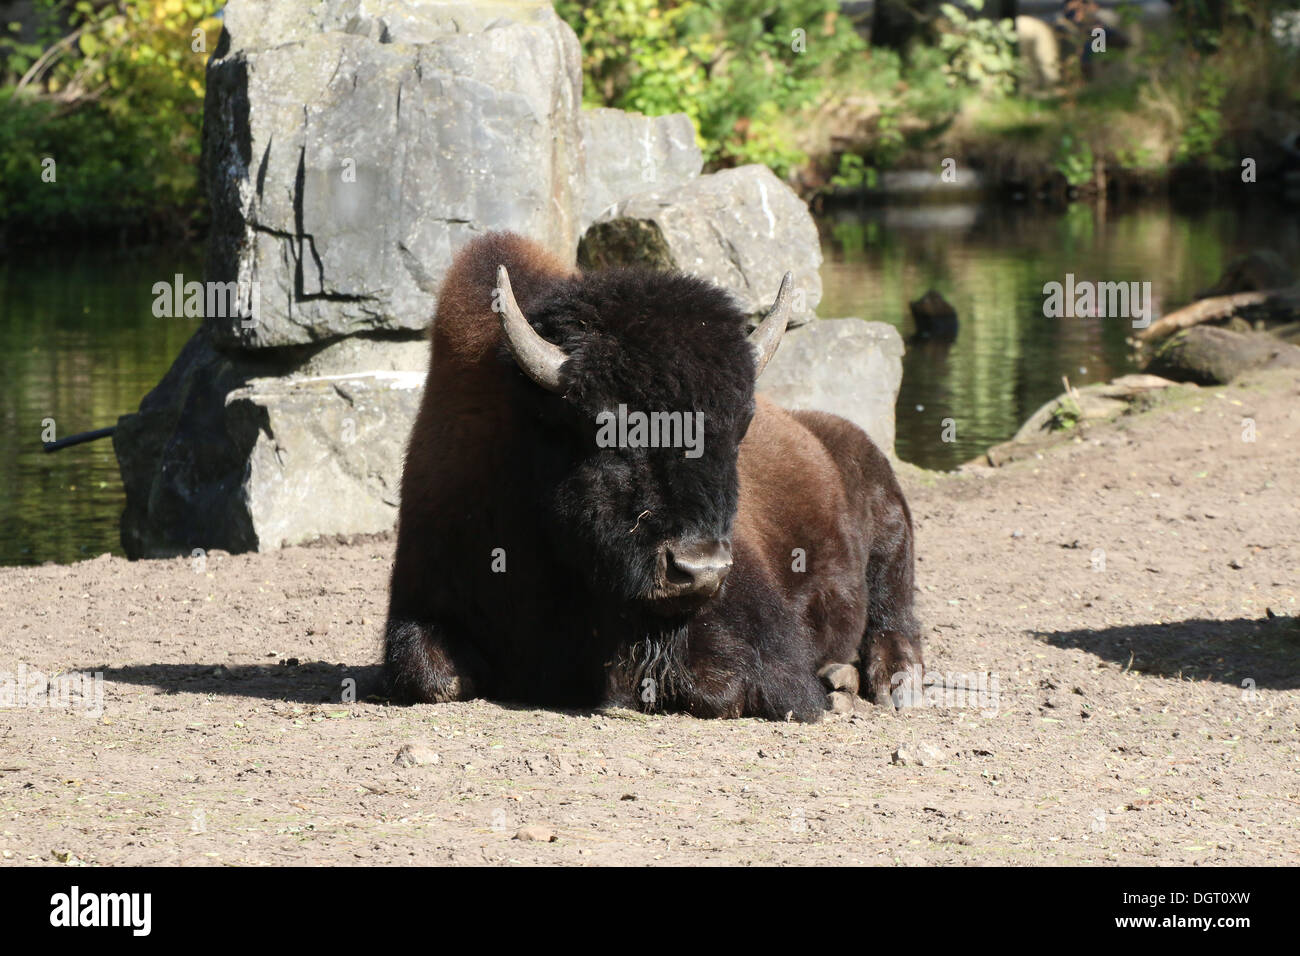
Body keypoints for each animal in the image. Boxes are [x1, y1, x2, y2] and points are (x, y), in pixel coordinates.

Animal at [384, 231, 925, 723]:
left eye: (738, 431)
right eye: (608, 432)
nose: (700, 569)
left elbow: (723, 683)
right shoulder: (420, 596)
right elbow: (429, 674)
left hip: (890, 527)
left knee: (893, 614)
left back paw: (886, 684)